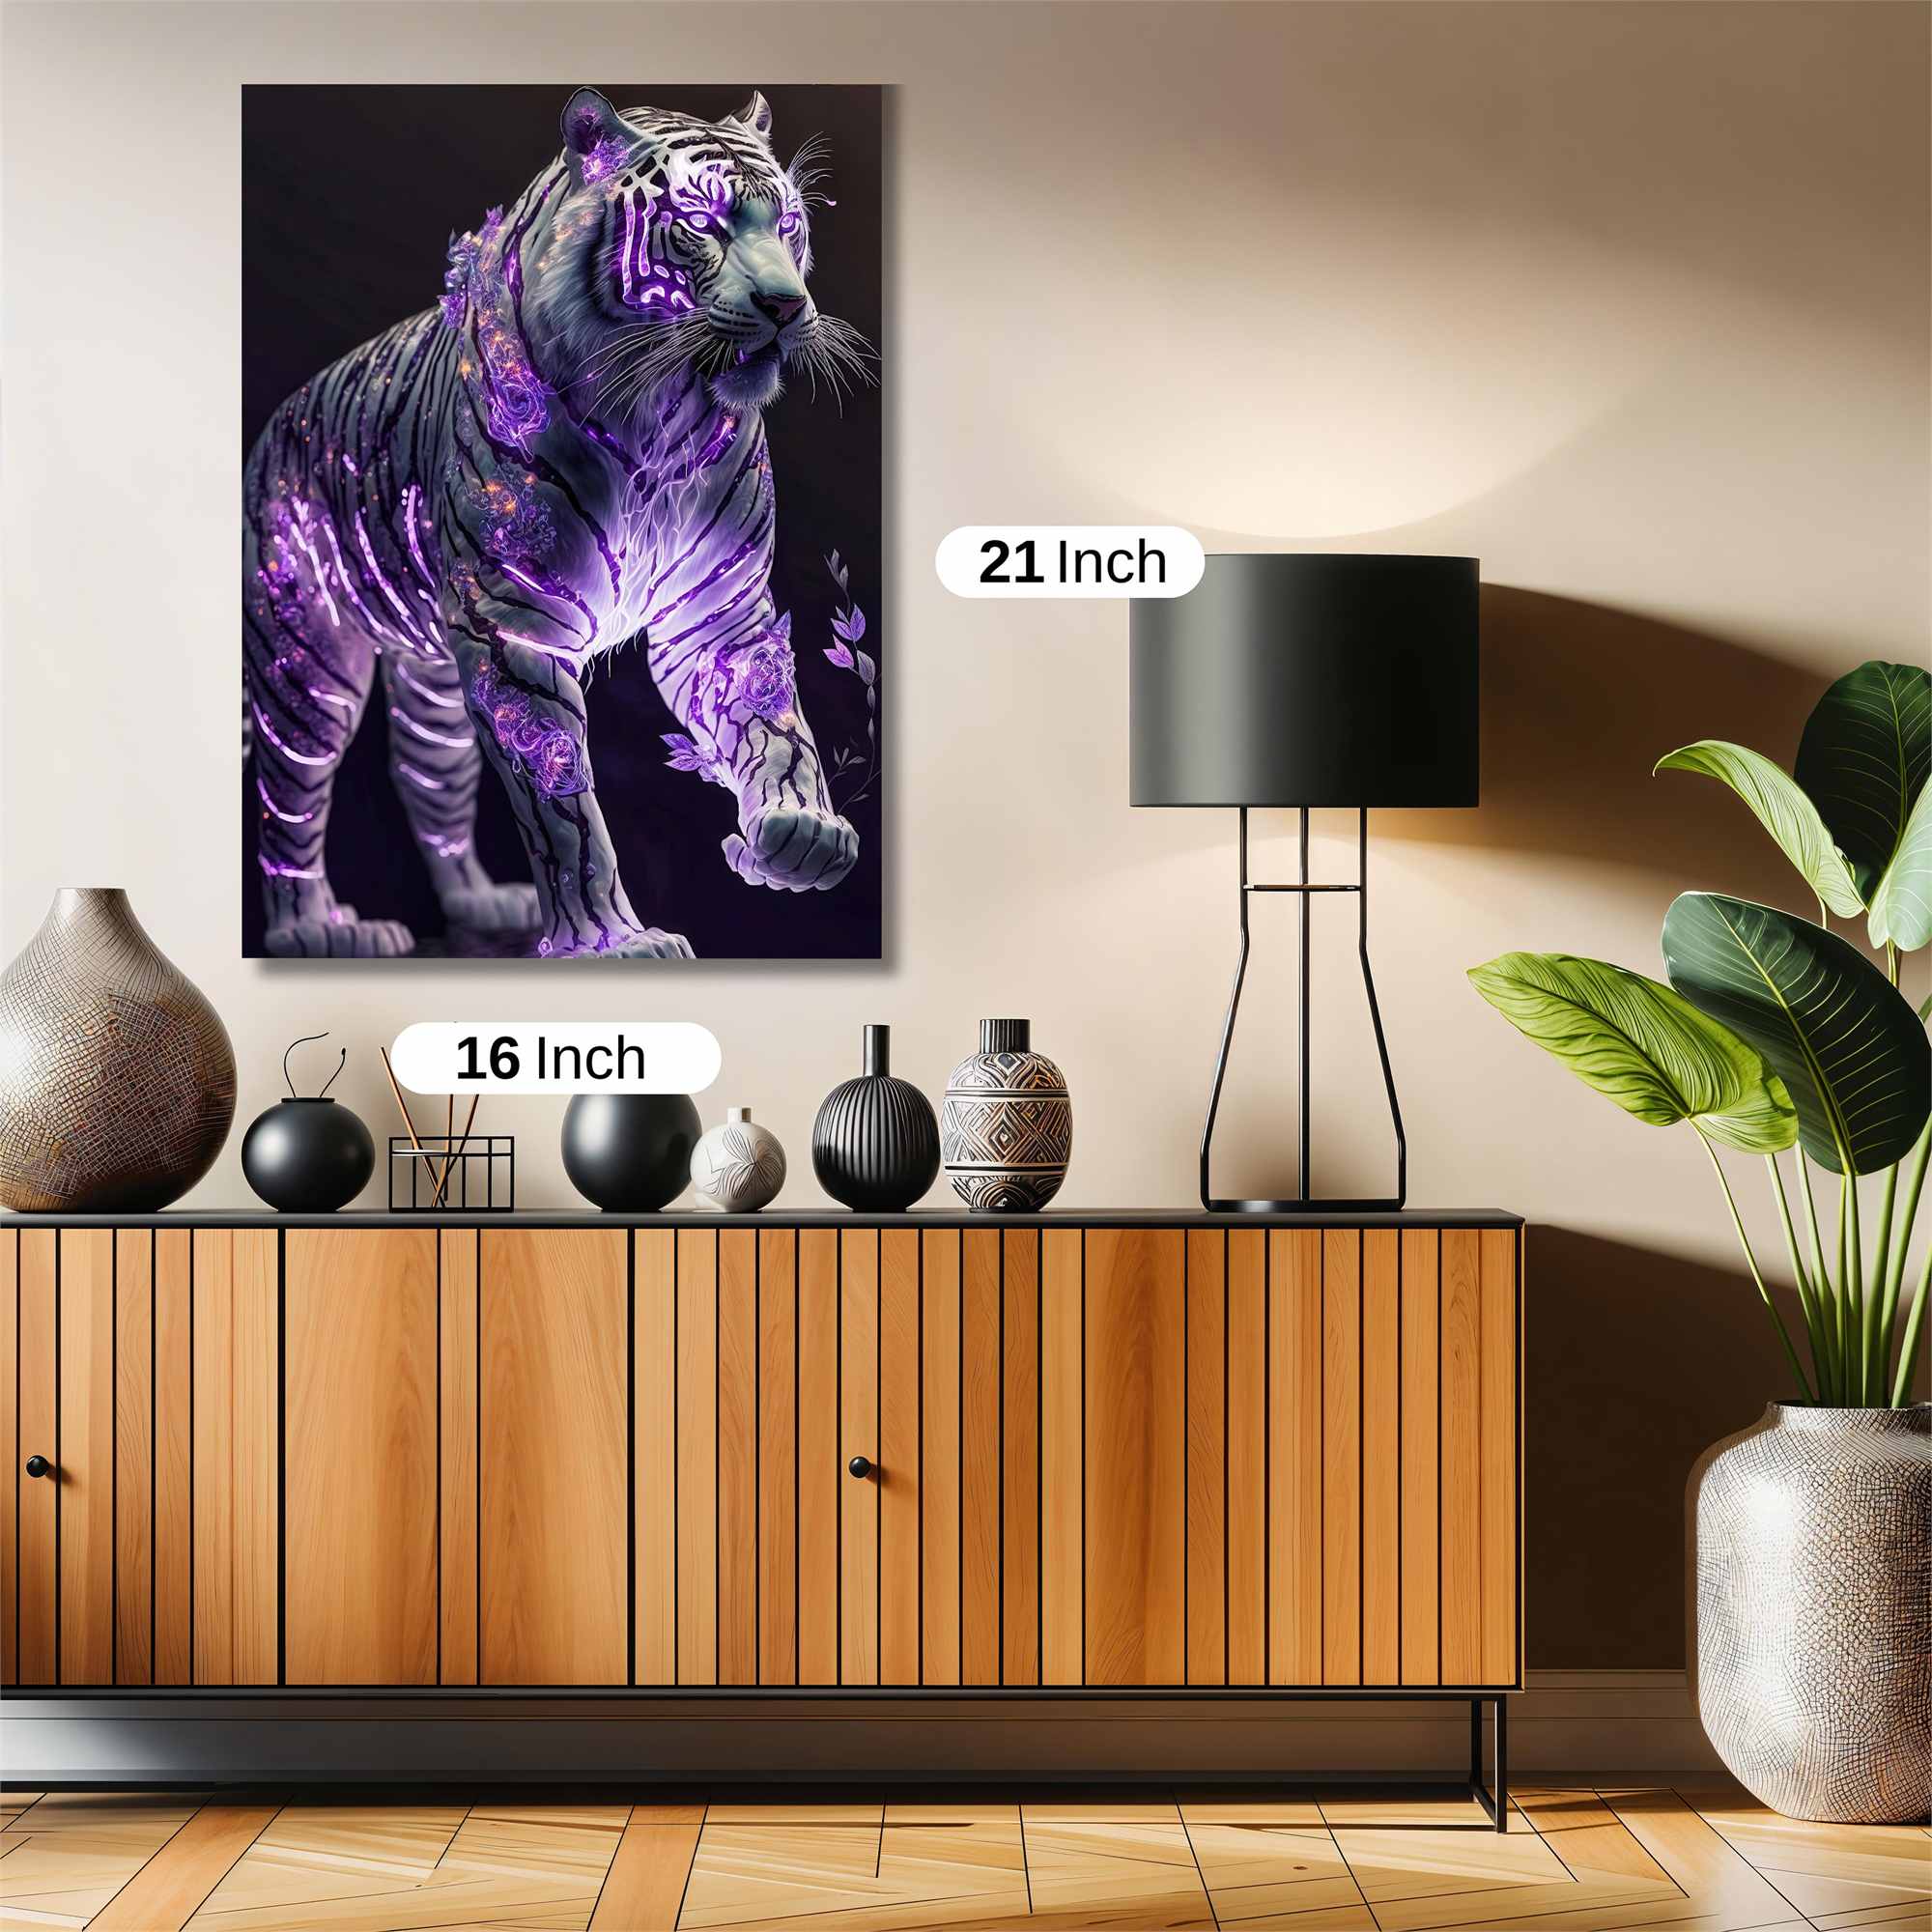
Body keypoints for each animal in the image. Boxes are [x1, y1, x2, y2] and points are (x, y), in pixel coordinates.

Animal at [243, 86, 872, 958]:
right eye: (702, 221)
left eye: (788, 225)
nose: (787, 305)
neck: (663, 415)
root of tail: (277, 421)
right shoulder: (516, 630)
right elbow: (565, 810)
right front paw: (615, 940)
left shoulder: (718, 613)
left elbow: (776, 726)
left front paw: (800, 833)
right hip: (307, 663)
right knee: (287, 798)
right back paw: (316, 929)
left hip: (434, 686)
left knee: (428, 780)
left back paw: (481, 904)